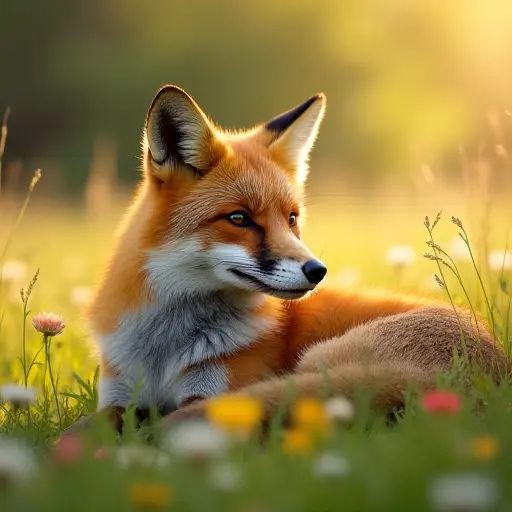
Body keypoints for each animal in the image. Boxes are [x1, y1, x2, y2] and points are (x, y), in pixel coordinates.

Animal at [71, 86, 508, 434]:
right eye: (239, 219)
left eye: (292, 218)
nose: (318, 271)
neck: (164, 348)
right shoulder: (120, 392)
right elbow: (89, 422)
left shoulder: (214, 390)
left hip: (315, 362)